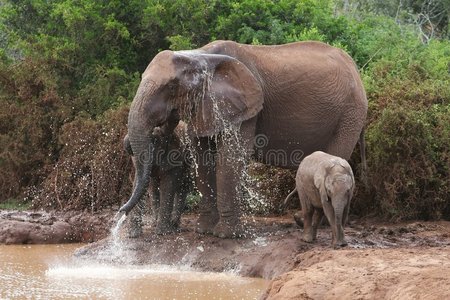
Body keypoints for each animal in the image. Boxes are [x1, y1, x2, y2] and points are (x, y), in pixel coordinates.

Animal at [120, 39, 370, 238]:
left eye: (171, 87)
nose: (121, 211)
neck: (200, 55)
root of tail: (355, 68)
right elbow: (202, 157)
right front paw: (204, 230)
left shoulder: (246, 110)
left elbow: (229, 158)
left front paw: (226, 235)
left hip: (350, 114)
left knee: (336, 155)